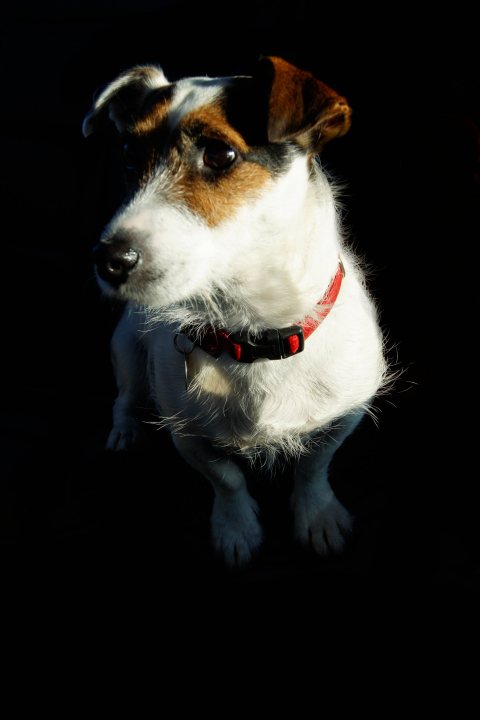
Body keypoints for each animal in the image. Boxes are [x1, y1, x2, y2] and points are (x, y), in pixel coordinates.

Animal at [83, 53, 390, 564]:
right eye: (128, 154)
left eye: (220, 154)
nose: (107, 260)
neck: (253, 331)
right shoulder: (187, 432)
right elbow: (225, 479)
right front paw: (236, 527)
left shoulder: (344, 414)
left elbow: (315, 465)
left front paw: (317, 515)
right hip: (125, 347)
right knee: (125, 395)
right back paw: (124, 429)